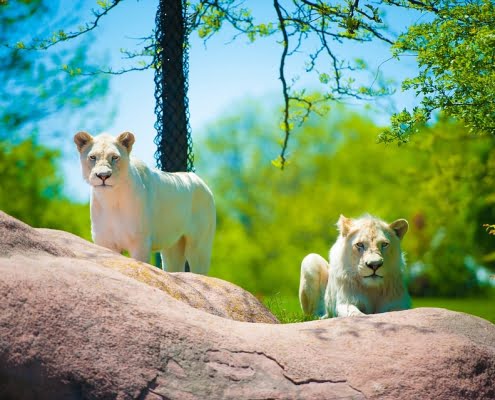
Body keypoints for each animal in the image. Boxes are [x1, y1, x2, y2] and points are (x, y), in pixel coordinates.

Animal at [73, 131, 215, 276]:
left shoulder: (140, 242)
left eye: (114, 157)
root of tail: (201, 182)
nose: (103, 175)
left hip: (199, 244)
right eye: (92, 157)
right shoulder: (105, 242)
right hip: (173, 245)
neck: (111, 199)